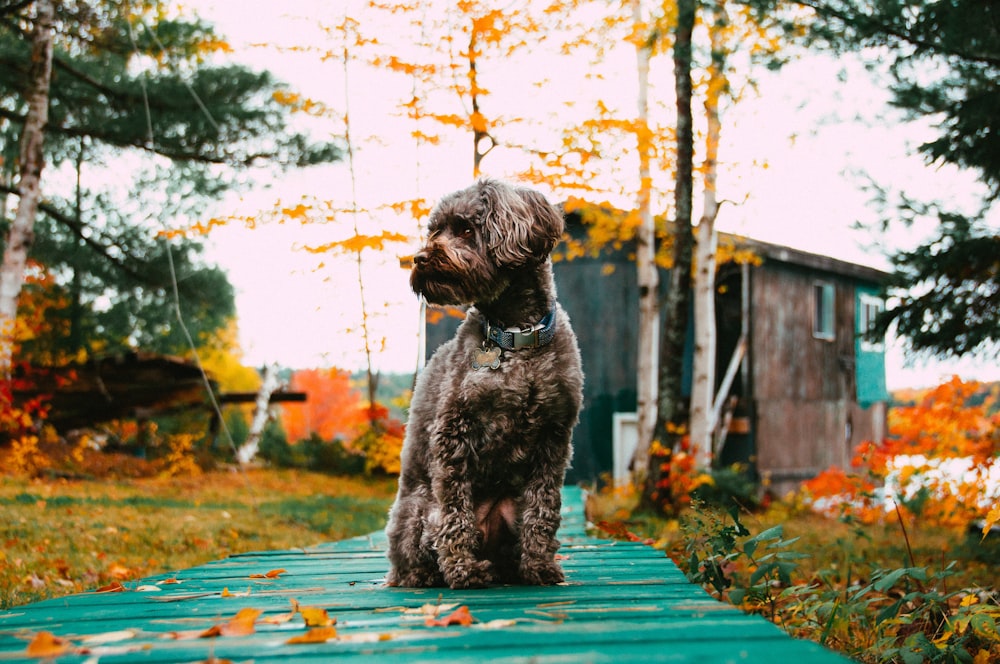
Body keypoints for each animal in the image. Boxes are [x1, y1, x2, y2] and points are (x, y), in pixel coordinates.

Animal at [384, 179, 584, 588]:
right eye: (434, 230)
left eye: (464, 229)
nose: (420, 258)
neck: (515, 337)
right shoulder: (453, 434)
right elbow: (454, 513)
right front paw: (463, 569)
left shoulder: (554, 437)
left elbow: (544, 509)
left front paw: (539, 565)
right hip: (418, 510)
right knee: (422, 548)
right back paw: (430, 573)